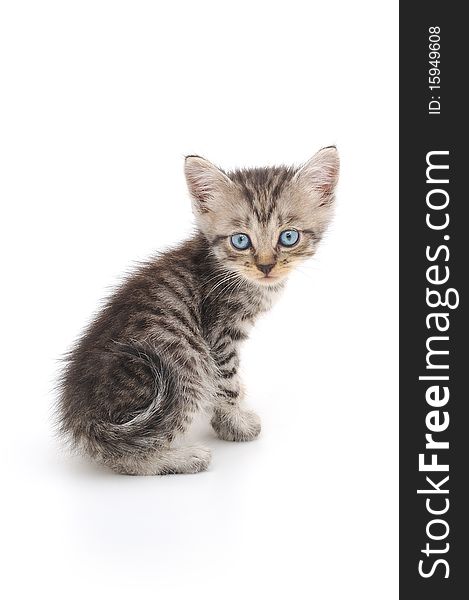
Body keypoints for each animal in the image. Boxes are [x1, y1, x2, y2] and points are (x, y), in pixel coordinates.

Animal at [58, 145, 338, 474]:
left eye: (288, 237)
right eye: (240, 240)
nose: (266, 266)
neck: (229, 271)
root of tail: (83, 420)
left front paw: (228, 420)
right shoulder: (218, 335)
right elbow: (227, 383)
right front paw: (236, 423)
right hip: (185, 368)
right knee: (127, 455)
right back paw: (183, 457)